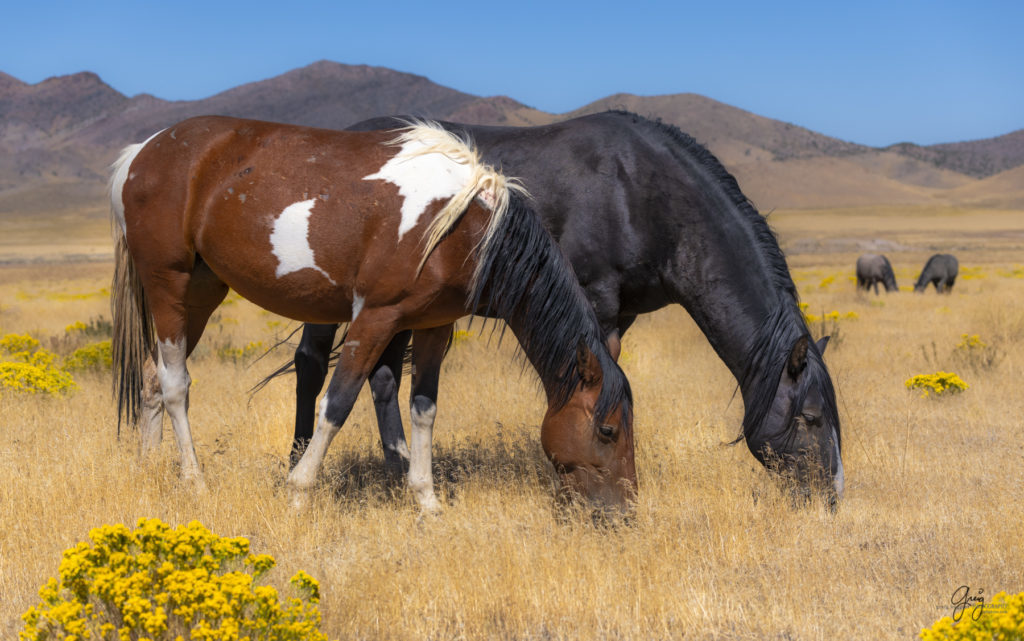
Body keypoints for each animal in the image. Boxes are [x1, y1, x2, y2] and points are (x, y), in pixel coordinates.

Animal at [108, 116, 634, 514]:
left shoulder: (433, 327)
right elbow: (337, 403)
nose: (622, 513)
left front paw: (427, 502)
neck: (460, 226)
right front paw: (299, 493)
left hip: (201, 291)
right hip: (168, 283)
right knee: (175, 384)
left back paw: (147, 467)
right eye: (607, 430)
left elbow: (424, 408)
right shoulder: (375, 318)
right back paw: (194, 480)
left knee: (153, 376)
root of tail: (141, 152)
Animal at [284, 112, 843, 505]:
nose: (832, 498)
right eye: (812, 418)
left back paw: (398, 470)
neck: (644, 193)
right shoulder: (598, 302)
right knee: (312, 364)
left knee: (381, 377)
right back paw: (296, 461)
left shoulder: (622, 313)